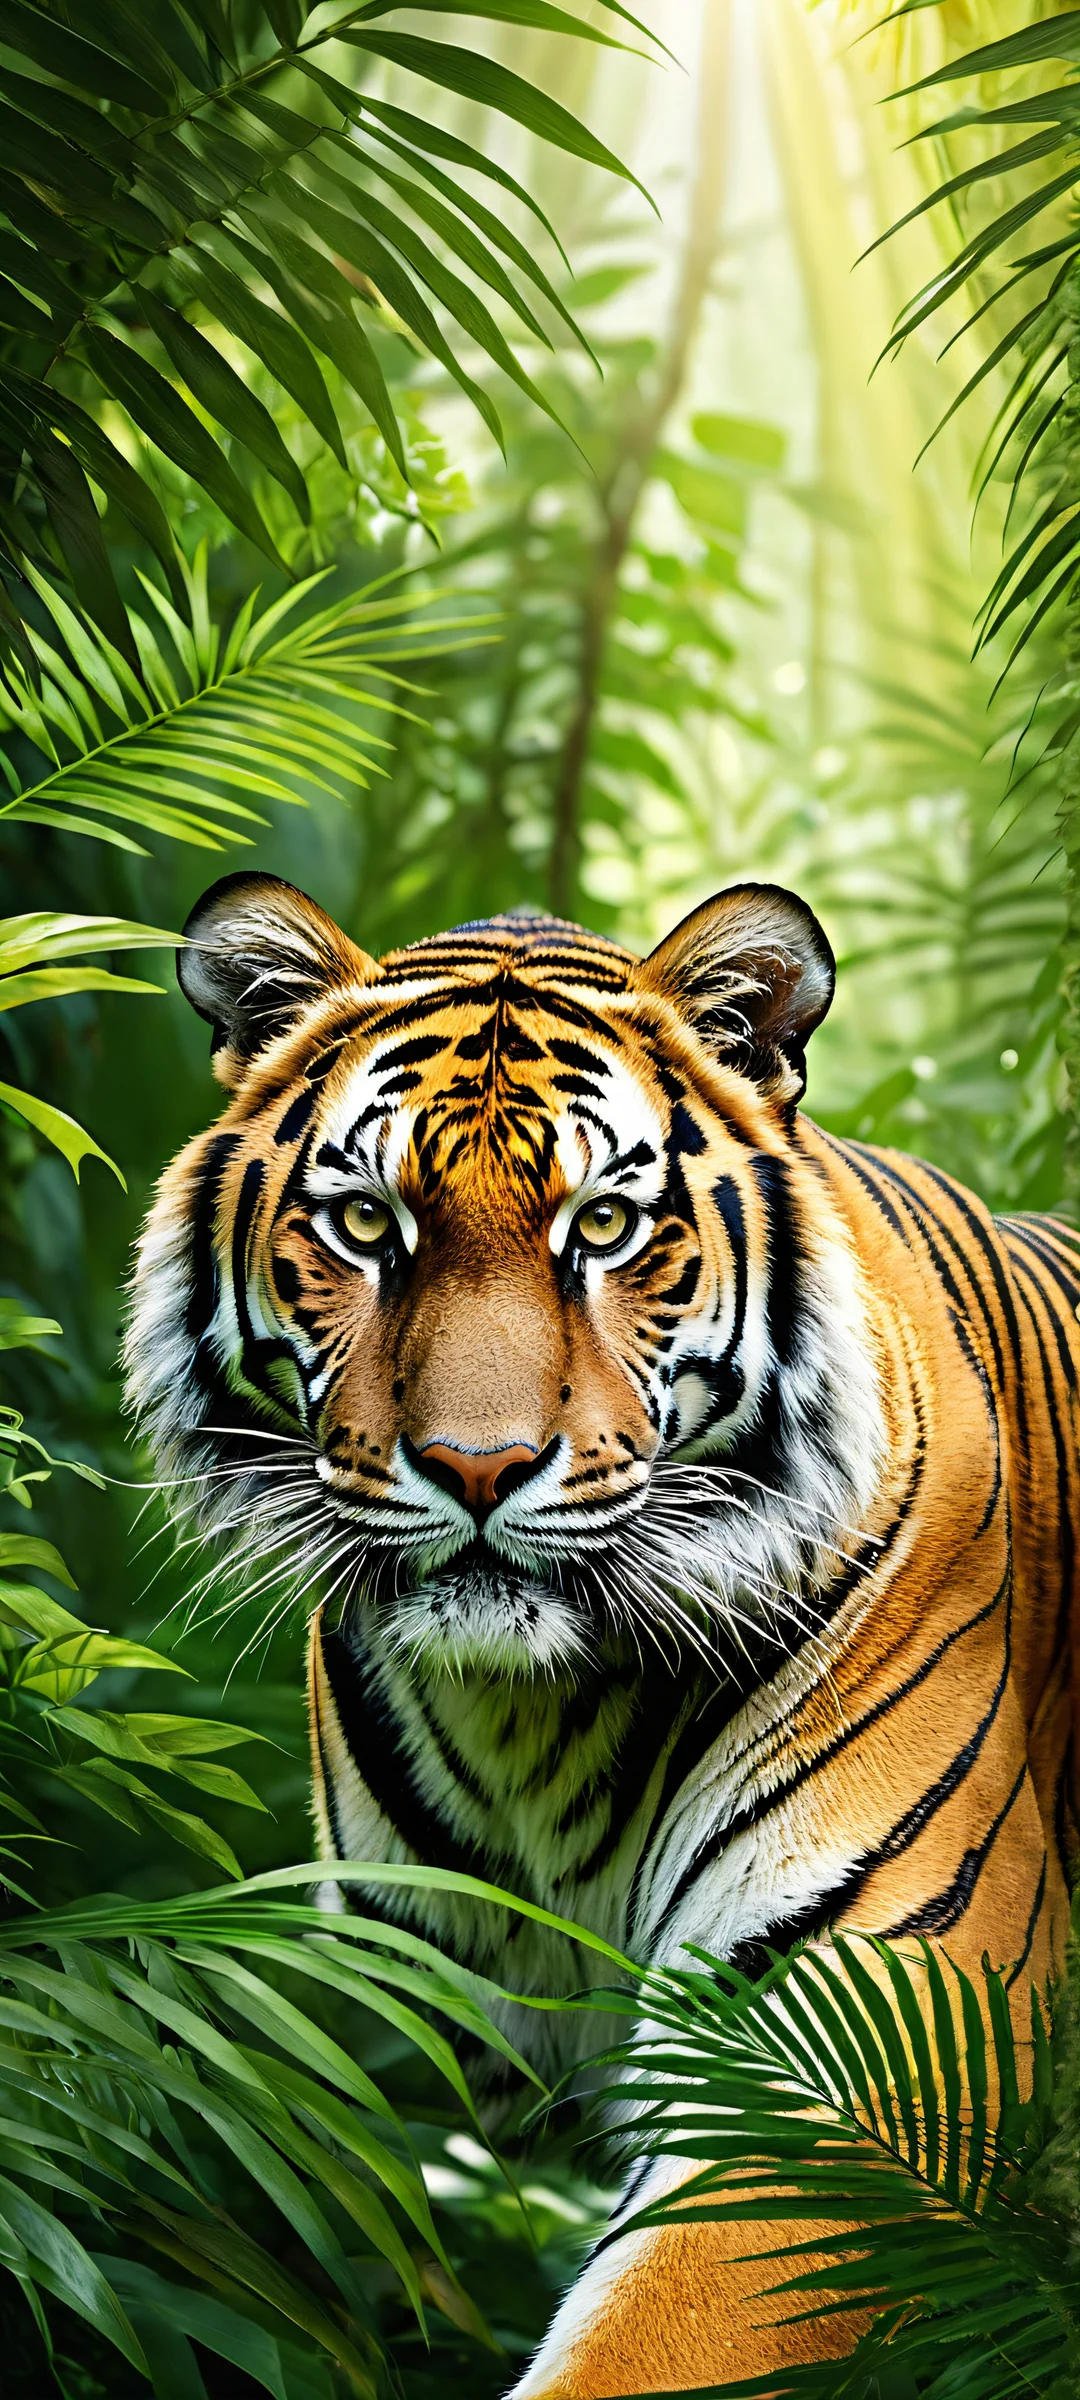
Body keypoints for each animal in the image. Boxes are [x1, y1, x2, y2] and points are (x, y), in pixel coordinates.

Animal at [125, 868, 1080, 2396]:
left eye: (607, 1229)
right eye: (367, 1226)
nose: (477, 1467)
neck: (533, 1717)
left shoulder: (858, 2058)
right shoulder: (372, 2032)